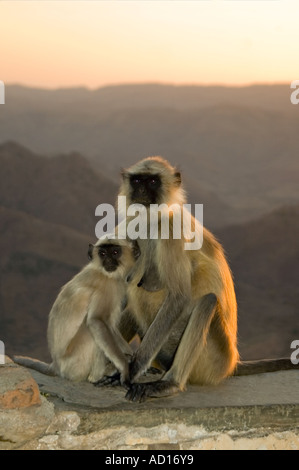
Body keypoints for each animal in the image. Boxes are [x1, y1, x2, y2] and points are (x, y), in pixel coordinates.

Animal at [14, 237, 141, 388]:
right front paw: (124, 368)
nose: (108, 261)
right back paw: (98, 376)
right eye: (103, 254)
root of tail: (56, 365)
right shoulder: (107, 285)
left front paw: (130, 357)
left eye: (115, 252)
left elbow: (111, 327)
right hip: (74, 365)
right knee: (91, 328)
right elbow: (98, 321)